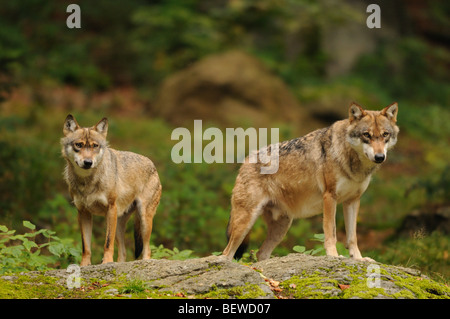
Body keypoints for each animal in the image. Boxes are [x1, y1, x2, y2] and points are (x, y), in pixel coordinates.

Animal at [61, 115, 162, 268]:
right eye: (78, 145)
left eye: (95, 146)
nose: (88, 162)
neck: (87, 182)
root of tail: (153, 165)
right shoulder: (83, 213)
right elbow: (86, 246)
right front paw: (84, 265)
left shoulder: (110, 209)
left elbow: (107, 242)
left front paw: (107, 262)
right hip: (119, 225)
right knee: (124, 253)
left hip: (143, 219)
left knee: (147, 249)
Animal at [223, 102, 400, 262]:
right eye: (366, 135)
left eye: (385, 134)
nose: (380, 157)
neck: (353, 163)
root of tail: (246, 160)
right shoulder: (329, 197)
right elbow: (331, 232)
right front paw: (333, 255)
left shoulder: (353, 201)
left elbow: (352, 237)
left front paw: (360, 259)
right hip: (246, 223)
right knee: (227, 253)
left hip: (282, 227)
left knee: (261, 254)